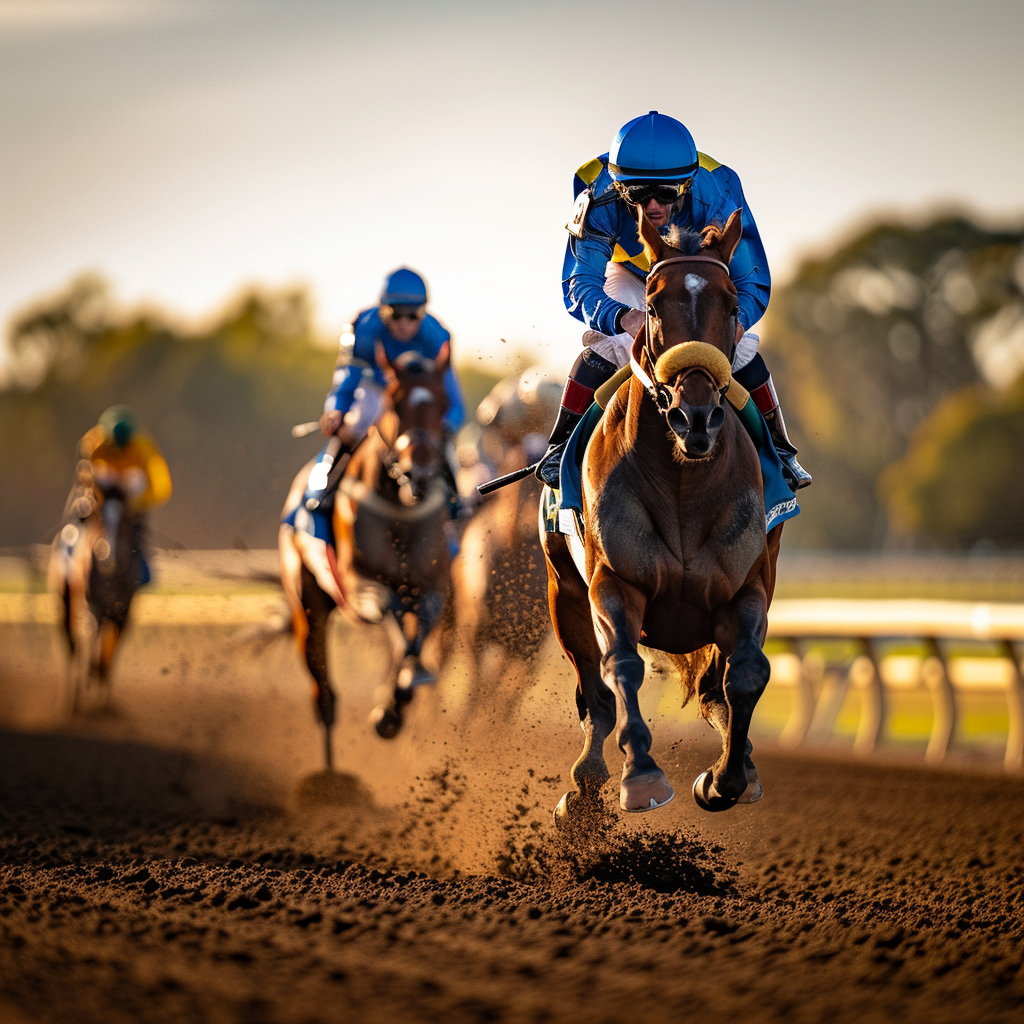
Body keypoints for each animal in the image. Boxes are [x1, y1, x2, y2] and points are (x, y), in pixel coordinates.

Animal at [48, 460, 148, 711]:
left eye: (125, 519)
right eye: (100, 516)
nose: (105, 554)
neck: (112, 573)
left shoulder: (124, 612)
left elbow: (109, 657)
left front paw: (105, 700)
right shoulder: (93, 607)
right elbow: (92, 649)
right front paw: (86, 686)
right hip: (66, 600)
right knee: (73, 645)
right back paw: (70, 698)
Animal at [279, 344, 455, 767]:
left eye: (443, 404)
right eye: (394, 402)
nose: (419, 473)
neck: (401, 513)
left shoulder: (433, 585)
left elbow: (416, 631)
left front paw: (401, 695)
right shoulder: (358, 584)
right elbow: (389, 611)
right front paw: (389, 709)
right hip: (306, 607)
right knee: (324, 696)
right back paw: (329, 776)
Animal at [541, 207, 784, 820]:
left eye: (732, 305)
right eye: (651, 305)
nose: (694, 417)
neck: (682, 483)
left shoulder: (746, 587)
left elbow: (748, 673)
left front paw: (724, 780)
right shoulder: (613, 582)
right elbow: (621, 665)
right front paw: (643, 775)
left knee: (718, 686)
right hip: (563, 591)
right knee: (595, 691)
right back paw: (586, 781)